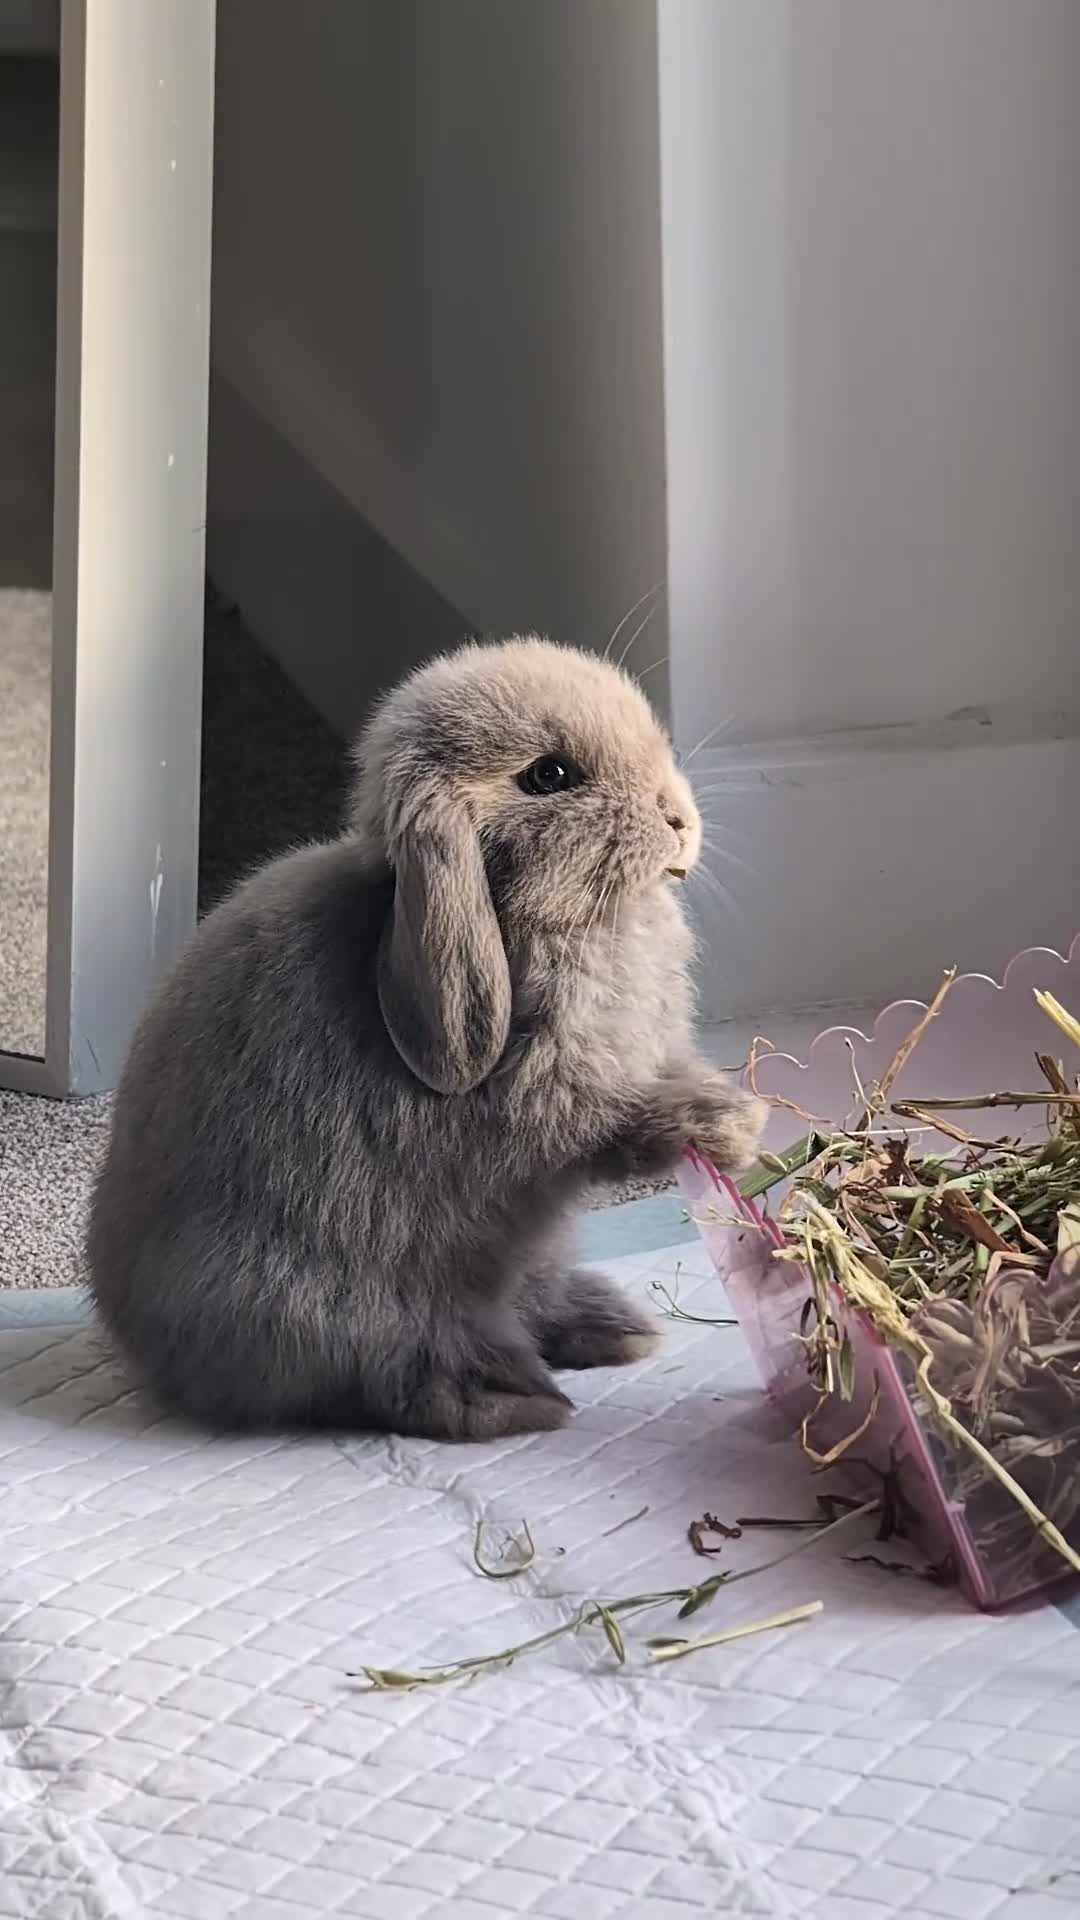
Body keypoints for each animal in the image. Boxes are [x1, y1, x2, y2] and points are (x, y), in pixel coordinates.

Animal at [86, 636, 764, 1439]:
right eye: (549, 776)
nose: (678, 819)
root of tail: (137, 1332)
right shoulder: (547, 1104)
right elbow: (604, 1119)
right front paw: (727, 1123)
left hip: (524, 1254)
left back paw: (611, 1326)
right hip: (329, 1301)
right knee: (389, 1374)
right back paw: (506, 1394)